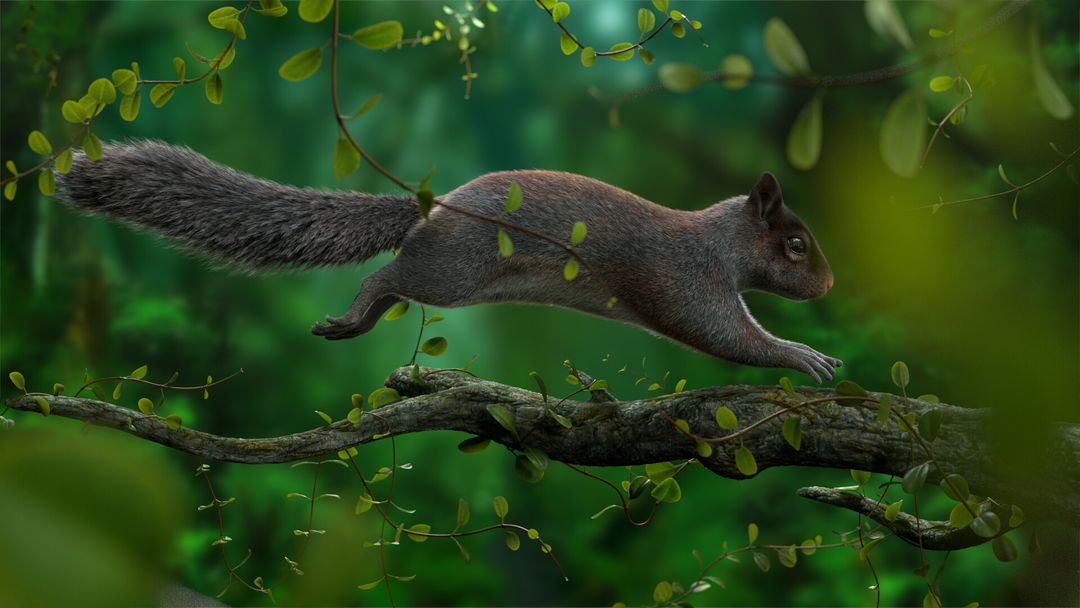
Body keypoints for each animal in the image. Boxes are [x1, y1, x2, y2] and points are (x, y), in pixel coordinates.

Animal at [56, 141, 842, 382]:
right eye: (795, 244)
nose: (831, 283)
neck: (719, 240)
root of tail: (431, 210)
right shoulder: (685, 278)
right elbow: (723, 333)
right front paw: (804, 356)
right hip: (454, 272)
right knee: (384, 276)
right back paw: (348, 319)